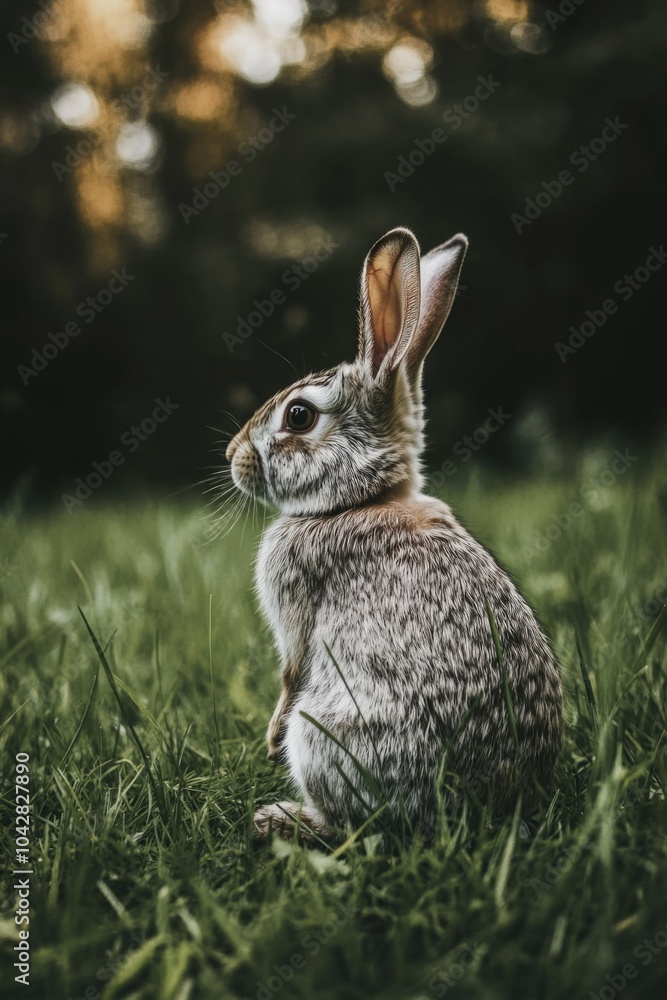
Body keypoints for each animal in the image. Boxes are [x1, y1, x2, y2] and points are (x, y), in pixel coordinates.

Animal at [225, 227, 563, 842]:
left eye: (299, 417)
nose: (234, 458)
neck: (358, 501)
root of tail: (480, 802)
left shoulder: (296, 603)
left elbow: (290, 670)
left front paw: (268, 737)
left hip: (322, 734)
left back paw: (280, 818)